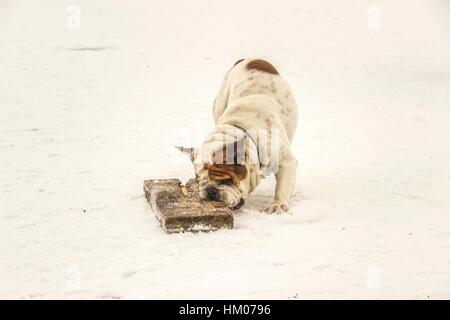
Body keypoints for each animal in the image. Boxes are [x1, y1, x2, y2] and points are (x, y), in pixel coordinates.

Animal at [178, 58, 298, 214]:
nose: (211, 191)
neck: (242, 128)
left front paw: (278, 205)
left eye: (227, 180)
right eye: (198, 181)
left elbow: (282, 187)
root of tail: (250, 59)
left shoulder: (285, 162)